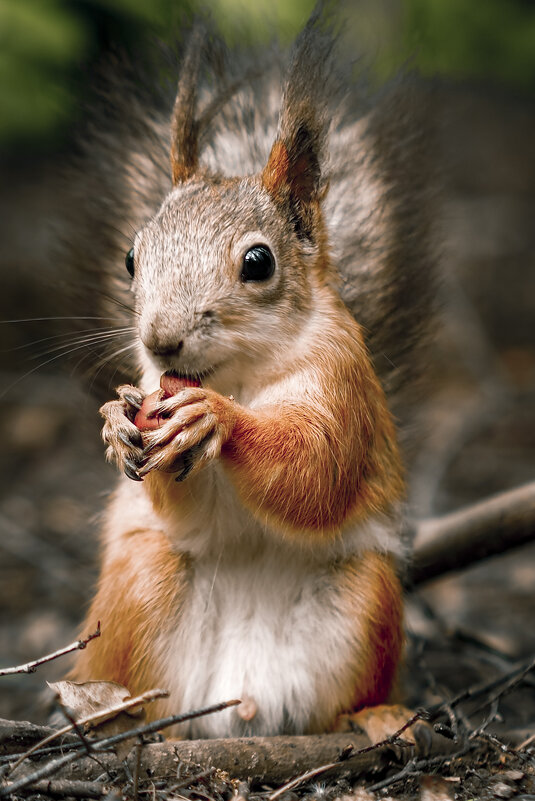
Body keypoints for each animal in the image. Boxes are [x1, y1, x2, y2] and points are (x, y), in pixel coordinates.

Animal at [67, 10, 438, 736]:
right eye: (131, 258)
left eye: (259, 263)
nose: (160, 341)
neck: (234, 374)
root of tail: (237, 698)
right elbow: (181, 503)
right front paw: (116, 423)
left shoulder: (343, 385)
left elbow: (315, 467)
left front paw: (218, 420)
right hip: (141, 585)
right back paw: (109, 713)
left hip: (363, 599)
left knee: (342, 698)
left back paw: (376, 716)